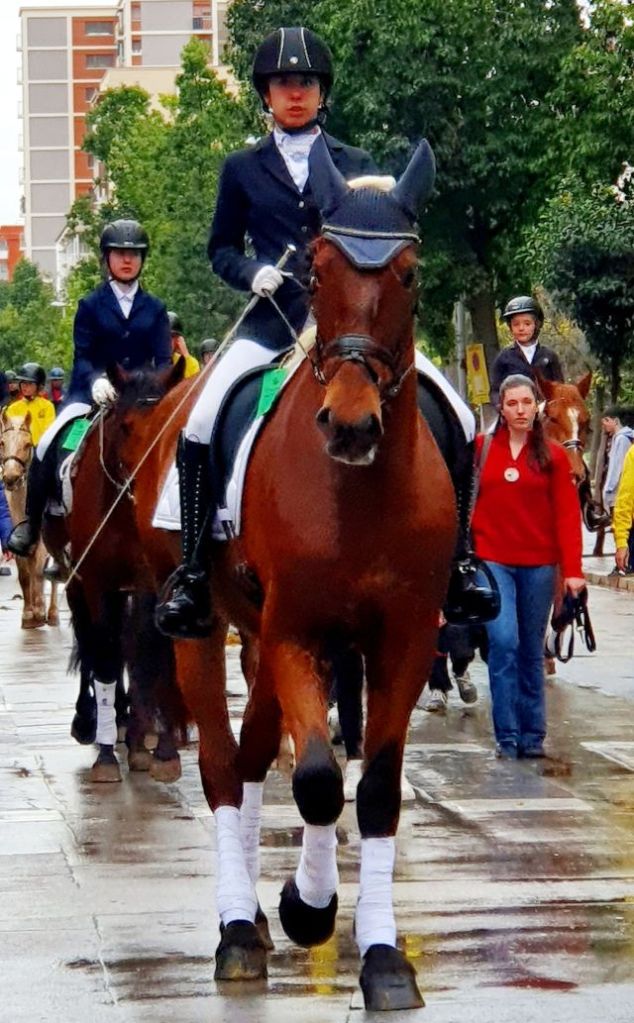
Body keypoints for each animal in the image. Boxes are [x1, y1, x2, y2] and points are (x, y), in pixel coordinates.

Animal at [0, 409, 59, 629]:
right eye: (2, 442)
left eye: (27, 444)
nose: (10, 477)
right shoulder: (14, 535)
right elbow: (25, 573)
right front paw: (28, 614)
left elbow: (39, 570)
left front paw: (39, 611)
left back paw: (52, 613)